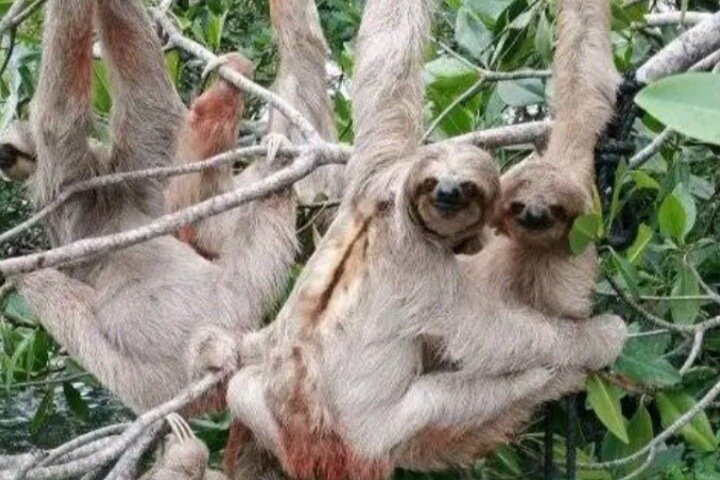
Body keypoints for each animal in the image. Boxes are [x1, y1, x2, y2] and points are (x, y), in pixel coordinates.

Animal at [222, 0, 626, 479]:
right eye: (434, 183)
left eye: (466, 187)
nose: (446, 194)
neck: (394, 212)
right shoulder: (426, 272)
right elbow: (497, 337)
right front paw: (603, 334)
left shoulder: (378, 166)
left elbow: (388, 59)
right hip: (380, 435)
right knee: (507, 385)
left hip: (267, 408)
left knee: (239, 389)